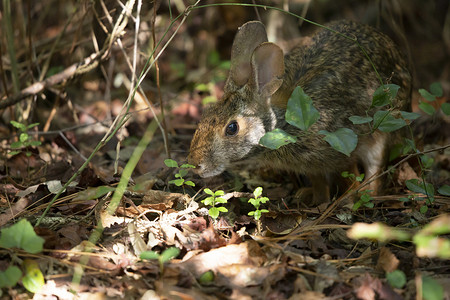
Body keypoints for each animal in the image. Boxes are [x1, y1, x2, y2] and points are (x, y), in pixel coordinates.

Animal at [186, 19, 412, 204]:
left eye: (232, 128)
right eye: (206, 113)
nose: (195, 164)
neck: (283, 125)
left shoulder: (343, 148)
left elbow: (349, 176)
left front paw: (347, 201)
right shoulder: (311, 166)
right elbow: (319, 182)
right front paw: (316, 199)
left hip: (383, 132)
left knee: (376, 166)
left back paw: (368, 194)